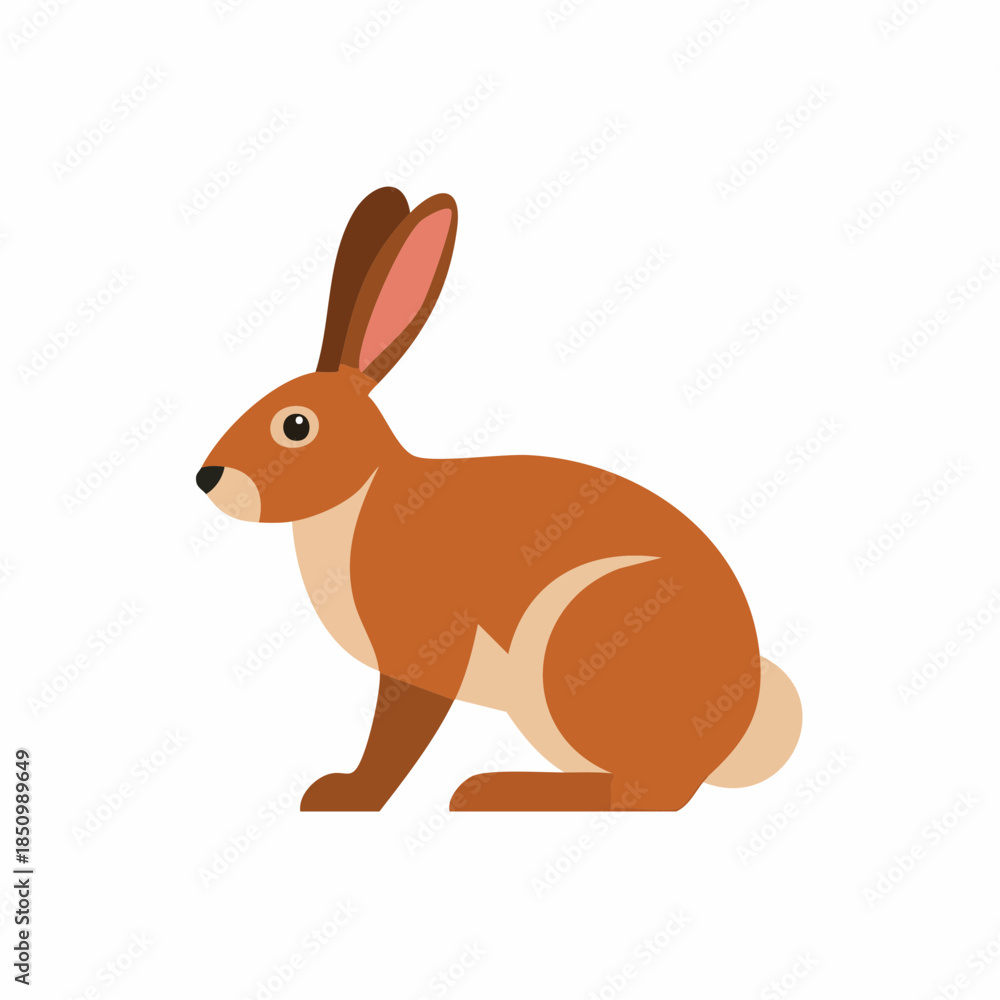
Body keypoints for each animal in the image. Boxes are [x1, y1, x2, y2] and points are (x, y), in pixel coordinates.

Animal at [197, 187, 802, 812]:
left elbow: (397, 736)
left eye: (295, 425)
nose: (207, 478)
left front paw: (348, 796)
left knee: (648, 792)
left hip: (580, 644)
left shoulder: (423, 655)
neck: (363, 492)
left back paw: (490, 791)